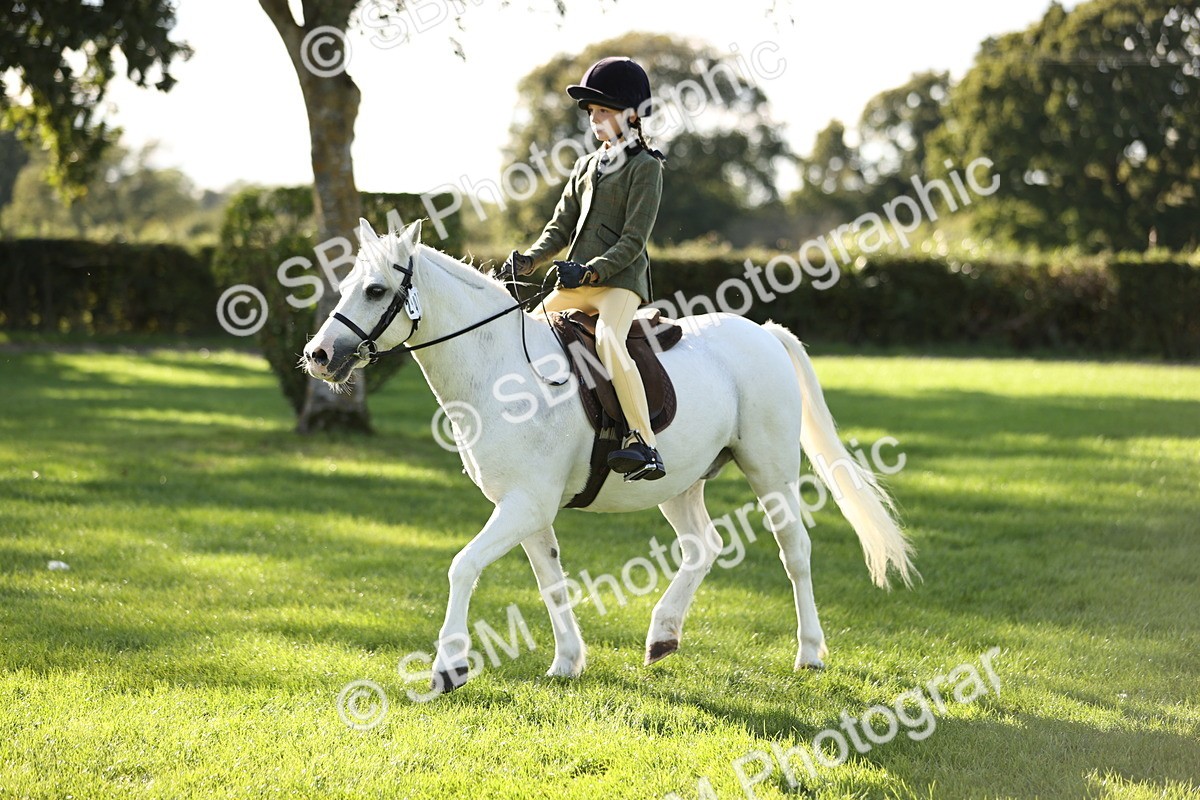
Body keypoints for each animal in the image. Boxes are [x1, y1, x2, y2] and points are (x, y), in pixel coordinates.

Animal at [302, 218, 915, 693]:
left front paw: (449, 666)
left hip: (770, 471)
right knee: (703, 547)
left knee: (795, 552)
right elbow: (551, 580)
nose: (319, 355)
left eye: (375, 290)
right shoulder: (526, 509)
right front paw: (567, 662)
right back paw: (663, 634)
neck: (502, 371)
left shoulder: (524, 505)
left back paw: (809, 653)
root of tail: (762, 332)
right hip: (679, 483)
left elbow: (463, 566)